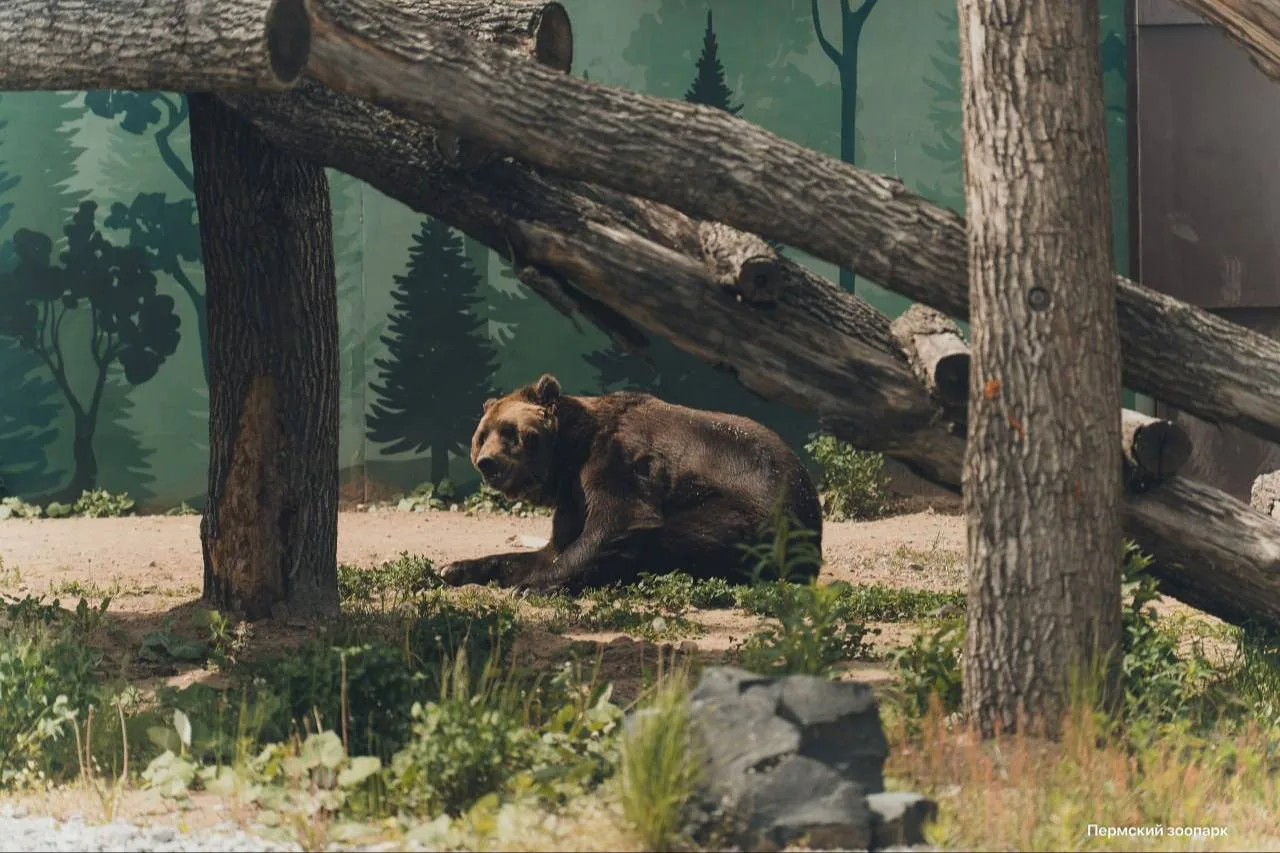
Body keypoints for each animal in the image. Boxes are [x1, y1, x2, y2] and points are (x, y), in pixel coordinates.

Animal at [439, 373, 823, 594]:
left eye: (510, 432)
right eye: (481, 437)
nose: (489, 464)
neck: (569, 455)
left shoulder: (618, 459)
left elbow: (620, 519)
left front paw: (532, 586)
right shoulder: (572, 498)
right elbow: (548, 549)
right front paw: (454, 568)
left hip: (752, 515)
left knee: (677, 535)